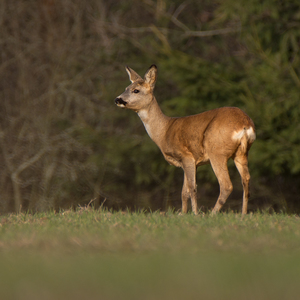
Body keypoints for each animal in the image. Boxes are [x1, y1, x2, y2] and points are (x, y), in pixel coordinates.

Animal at [115, 64, 255, 214]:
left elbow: (192, 189)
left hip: (217, 150)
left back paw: (212, 214)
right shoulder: (190, 162)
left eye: (136, 90)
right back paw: (243, 214)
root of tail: (245, 124)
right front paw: (183, 214)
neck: (164, 131)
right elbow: (184, 192)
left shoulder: (187, 156)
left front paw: (195, 214)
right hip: (241, 153)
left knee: (226, 185)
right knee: (246, 181)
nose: (117, 99)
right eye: (126, 88)